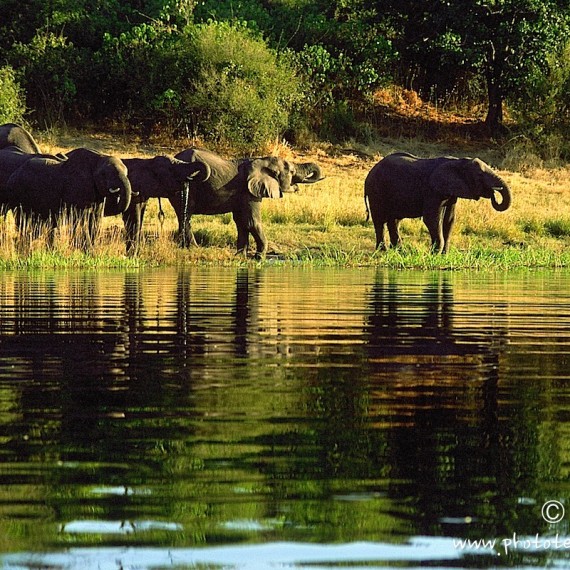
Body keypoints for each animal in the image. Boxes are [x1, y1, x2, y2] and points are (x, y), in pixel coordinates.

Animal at [2, 145, 131, 245]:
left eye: (126, 173)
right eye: (104, 174)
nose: (117, 192)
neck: (98, 159)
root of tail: (12, 176)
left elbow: (95, 222)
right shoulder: (76, 190)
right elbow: (81, 222)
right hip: (18, 195)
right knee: (23, 222)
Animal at [168, 148, 324, 256]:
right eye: (291, 172)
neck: (261, 160)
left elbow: (241, 221)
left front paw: (240, 256)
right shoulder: (249, 191)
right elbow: (251, 221)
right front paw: (259, 257)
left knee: (183, 216)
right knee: (186, 216)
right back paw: (193, 247)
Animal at [364, 150, 510, 252]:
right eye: (479, 175)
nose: (493, 193)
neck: (458, 161)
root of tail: (370, 173)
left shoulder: (451, 192)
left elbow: (449, 220)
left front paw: (444, 254)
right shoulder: (433, 190)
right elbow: (432, 219)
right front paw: (435, 254)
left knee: (394, 220)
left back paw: (398, 251)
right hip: (376, 190)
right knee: (379, 220)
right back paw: (383, 251)